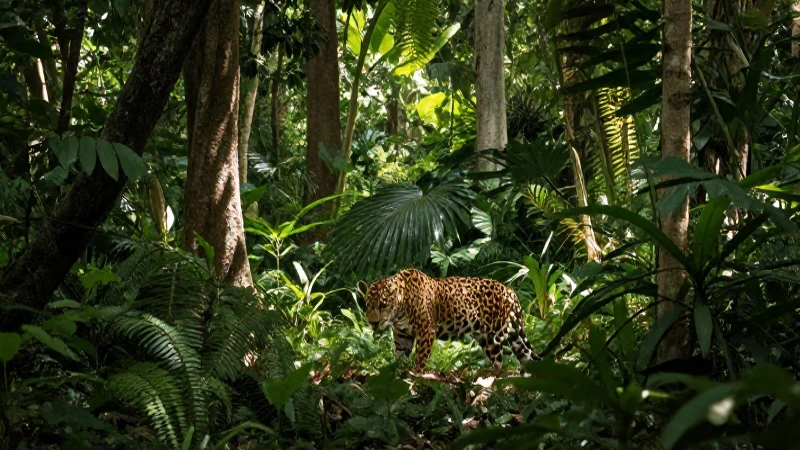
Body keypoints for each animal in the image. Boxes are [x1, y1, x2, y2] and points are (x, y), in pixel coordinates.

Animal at [358, 268, 540, 372]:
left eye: (383, 305)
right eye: (367, 304)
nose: (373, 323)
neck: (400, 310)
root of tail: (510, 291)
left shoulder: (426, 331)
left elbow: (420, 357)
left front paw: (416, 375)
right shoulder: (403, 335)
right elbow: (400, 355)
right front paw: (397, 373)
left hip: (494, 336)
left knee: (499, 363)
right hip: (505, 335)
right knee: (524, 354)